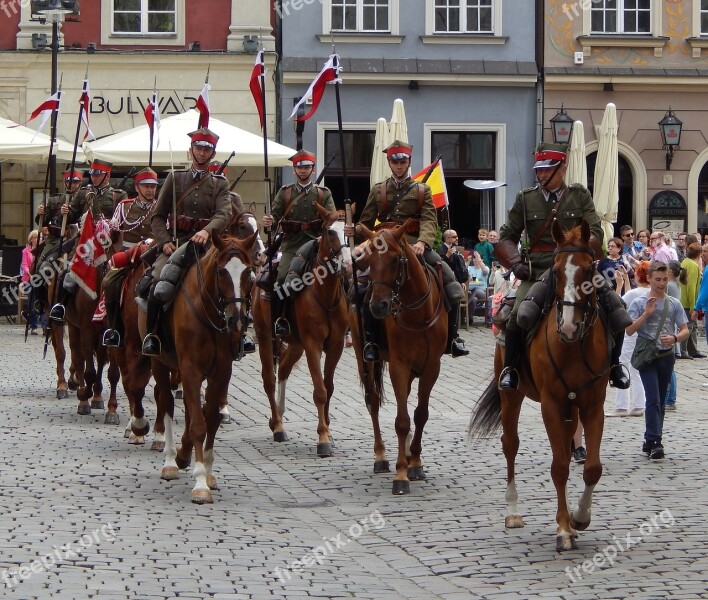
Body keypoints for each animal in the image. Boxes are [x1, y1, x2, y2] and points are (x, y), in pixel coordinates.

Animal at [145, 232, 258, 504]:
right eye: (220, 271)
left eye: (249, 271)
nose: (237, 320)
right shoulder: (190, 369)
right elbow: (198, 424)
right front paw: (199, 483)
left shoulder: (221, 372)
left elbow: (211, 419)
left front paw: (207, 470)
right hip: (160, 363)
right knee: (165, 403)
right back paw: (170, 460)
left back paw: (183, 453)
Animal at [250, 204, 348, 458]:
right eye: (329, 232)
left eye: (349, 230)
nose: (347, 264)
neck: (326, 294)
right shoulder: (313, 345)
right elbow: (320, 390)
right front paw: (323, 439)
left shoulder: (336, 346)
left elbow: (329, 387)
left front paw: (329, 433)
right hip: (265, 335)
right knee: (269, 378)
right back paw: (277, 426)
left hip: (295, 343)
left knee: (283, 369)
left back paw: (278, 418)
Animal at [350, 223, 448, 494]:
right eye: (369, 260)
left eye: (395, 259)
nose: (378, 307)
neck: (417, 315)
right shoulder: (399, 366)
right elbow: (402, 420)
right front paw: (401, 474)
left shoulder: (431, 368)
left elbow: (420, 414)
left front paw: (414, 463)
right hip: (364, 358)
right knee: (372, 401)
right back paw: (382, 457)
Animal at [468, 218, 612, 552]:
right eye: (556, 271)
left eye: (589, 268)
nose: (569, 326)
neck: (573, 346)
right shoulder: (550, 404)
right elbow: (559, 467)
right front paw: (563, 530)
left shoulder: (592, 406)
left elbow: (591, 468)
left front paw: (579, 519)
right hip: (511, 396)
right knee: (510, 444)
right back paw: (513, 511)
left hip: (571, 409)